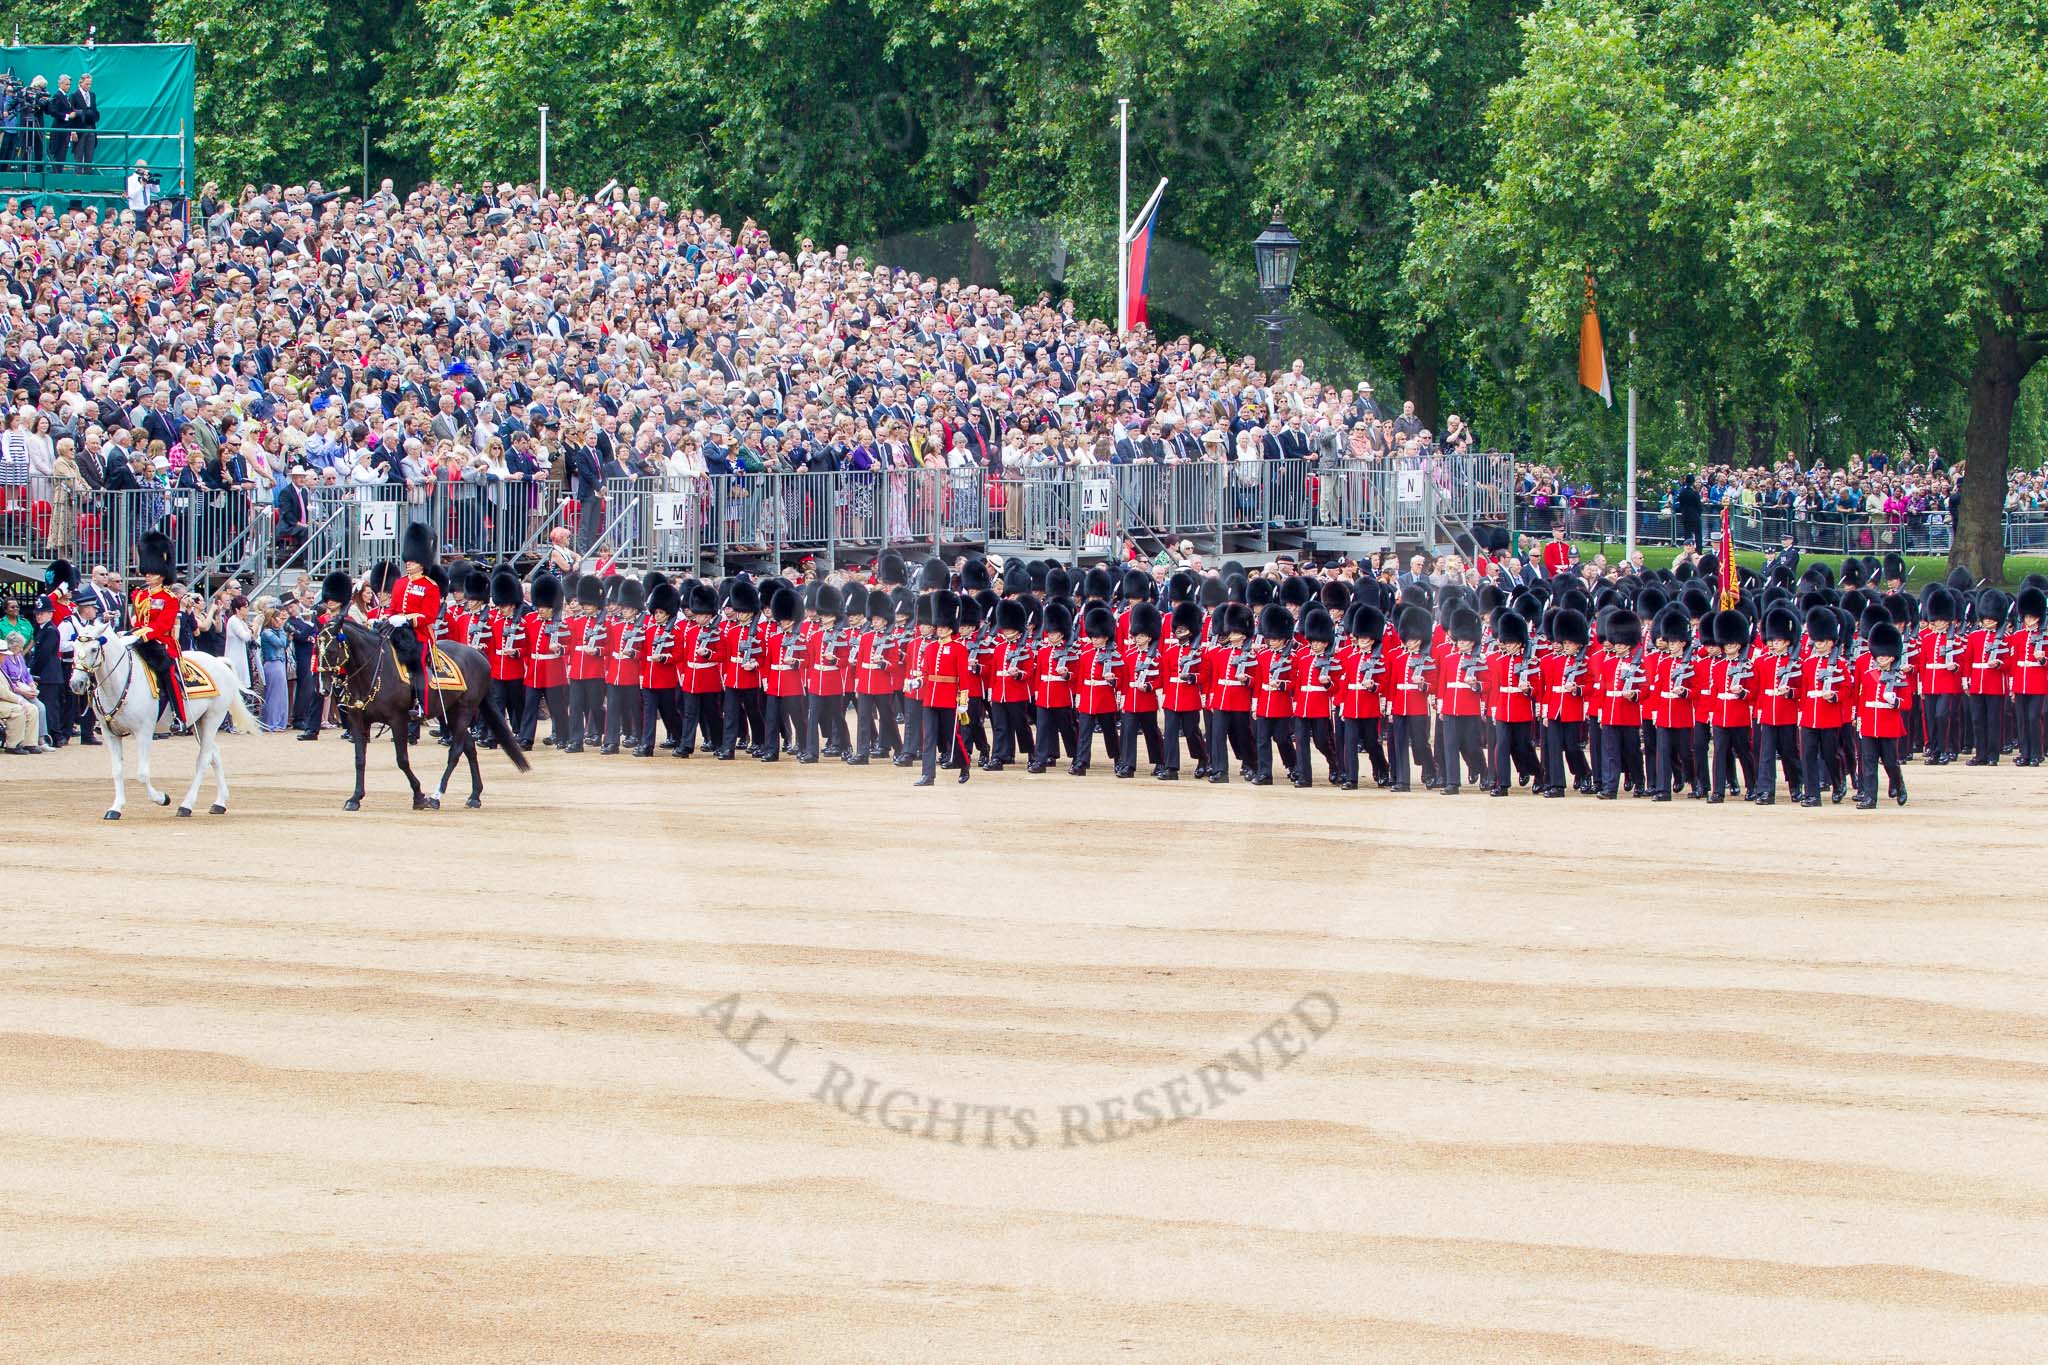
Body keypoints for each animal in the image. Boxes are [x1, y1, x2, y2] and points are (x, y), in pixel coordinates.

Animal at [68, 626, 262, 822]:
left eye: (94, 649)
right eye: (74, 648)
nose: (76, 683)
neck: (119, 681)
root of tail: (218, 661)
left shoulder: (144, 733)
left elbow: (142, 774)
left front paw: (162, 798)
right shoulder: (111, 735)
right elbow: (117, 770)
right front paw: (116, 808)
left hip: (212, 718)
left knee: (204, 759)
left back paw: (186, 805)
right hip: (197, 723)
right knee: (214, 754)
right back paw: (220, 802)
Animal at [315, 609, 528, 810]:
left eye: (332, 649)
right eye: (317, 648)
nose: (324, 688)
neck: (373, 669)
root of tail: (478, 655)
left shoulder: (398, 719)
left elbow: (402, 759)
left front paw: (419, 796)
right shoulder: (358, 720)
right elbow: (360, 760)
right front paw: (355, 798)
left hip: (465, 710)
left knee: (456, 751)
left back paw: (436, 797)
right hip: (450, 712)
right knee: (469, 747)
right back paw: (475, 795)